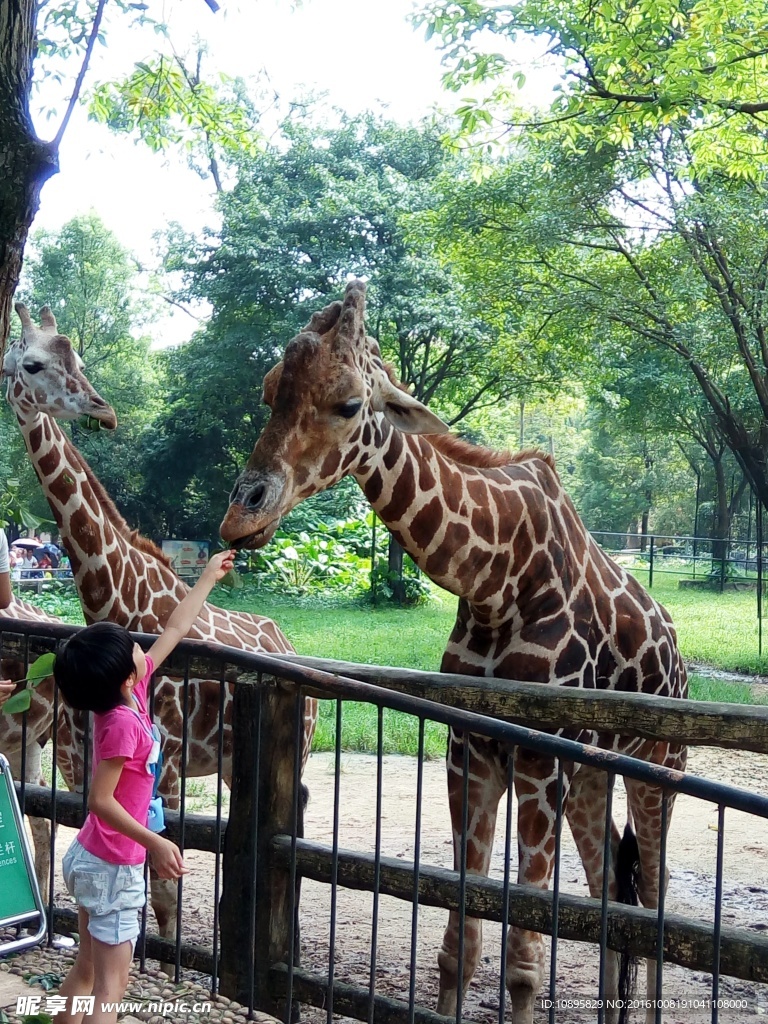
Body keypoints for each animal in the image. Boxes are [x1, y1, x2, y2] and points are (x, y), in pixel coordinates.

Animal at [3, 303, 319, 950]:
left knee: (291, 832)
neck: (114, 600)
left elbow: (168, 892)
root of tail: (287, 644)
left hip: (293, 751)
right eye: (33, 363)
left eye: (78, 357)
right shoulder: (88, 758)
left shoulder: (167, 760)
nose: (103, 409)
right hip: (232, 761)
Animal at [219, 282, 688, 1024]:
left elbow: (523, 959)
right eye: (269, 390)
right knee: (613, 885)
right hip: (593, 776)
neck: (496, 580)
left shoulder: (539, 765)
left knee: (657, 893)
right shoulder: (470, 753)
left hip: (659, 768)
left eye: (348, 403)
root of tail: (681, 663)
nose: (242, 515)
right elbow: (457, 946)